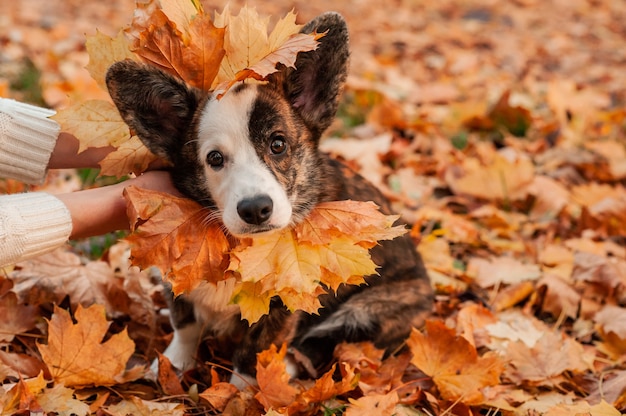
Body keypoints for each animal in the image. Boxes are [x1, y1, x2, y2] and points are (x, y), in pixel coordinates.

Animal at [106, 11, 428, 386]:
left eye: (278, 144)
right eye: (214, 158)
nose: (255, 209)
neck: (236, 248)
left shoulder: (285, 303)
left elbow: (252, 356)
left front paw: (242, 392)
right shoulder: (176, 275)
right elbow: (184, 325)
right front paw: (173, 363)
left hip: (370, 310)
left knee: (328, 342)